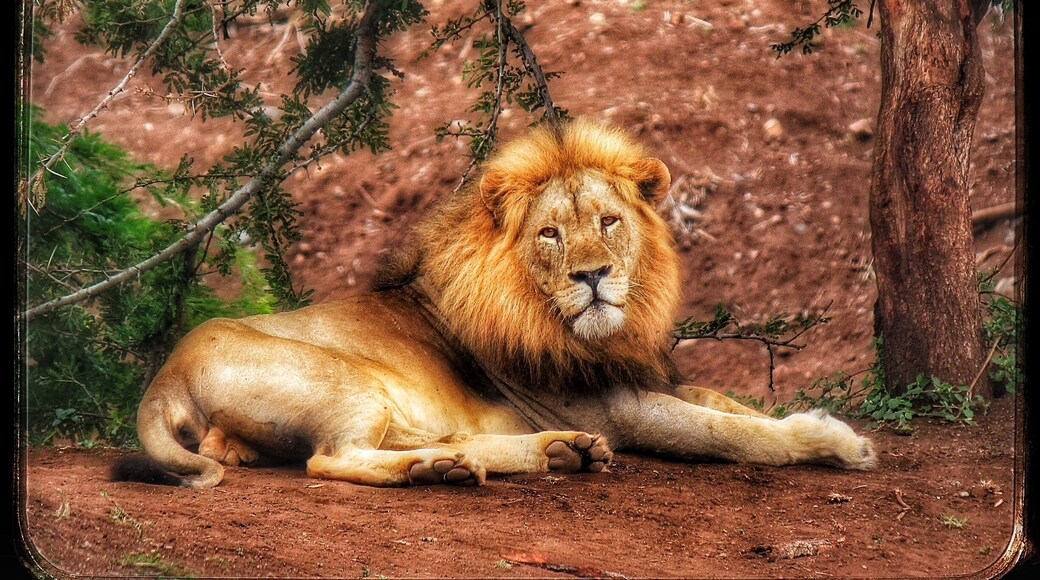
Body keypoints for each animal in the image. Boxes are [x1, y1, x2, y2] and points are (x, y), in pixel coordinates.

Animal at [113, 119, 876, 489]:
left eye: (609, 222)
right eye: (549, 233)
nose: (593, 276)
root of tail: (166, 374)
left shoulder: (632, 380)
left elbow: (728, 402)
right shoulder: (620, 408)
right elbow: (734, 433)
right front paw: (835, 443)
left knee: (430, 439)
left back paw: (552, 453)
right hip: (346, 381)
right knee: (333, 460)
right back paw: (446, 471)